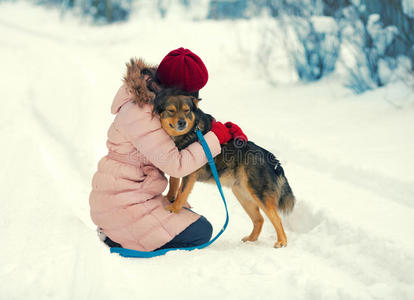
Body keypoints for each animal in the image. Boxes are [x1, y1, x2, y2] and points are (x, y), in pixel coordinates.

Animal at [152, 88, 294, 247]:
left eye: (186, 110)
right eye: (171, 111)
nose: (182, 122)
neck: (192, 131)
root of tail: (272, 160)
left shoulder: (189, 173)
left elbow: (182, 193)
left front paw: (174, 209)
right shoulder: (177, 165)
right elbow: (173, 183)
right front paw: (169, 198)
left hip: (258, 194)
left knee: (276, 218)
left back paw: (281, 242)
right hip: (242, 194)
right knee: (259, 219)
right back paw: (250, 240)